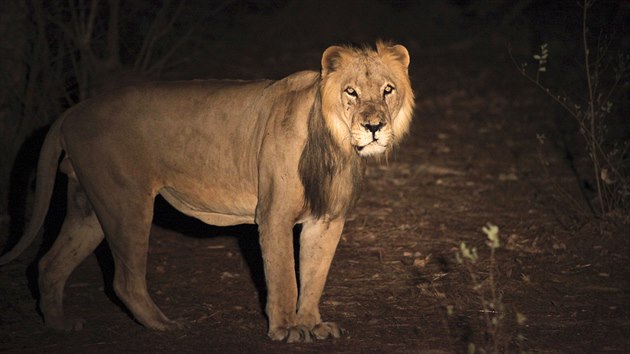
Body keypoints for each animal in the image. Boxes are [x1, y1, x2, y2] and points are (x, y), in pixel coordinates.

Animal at [1, 41, 414, 342]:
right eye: (351, 92)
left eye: (387, 90)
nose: (374, 127)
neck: (337, 147)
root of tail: (73, 110)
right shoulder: (274, 214)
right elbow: (284, 275)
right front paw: (286, 329)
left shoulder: (327, 219)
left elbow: (314, 276)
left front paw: (312, 324)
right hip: (126, 203)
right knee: (124, 280)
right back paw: (165, 326)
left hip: (89, 208)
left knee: (49, 264)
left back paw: (58, 325)